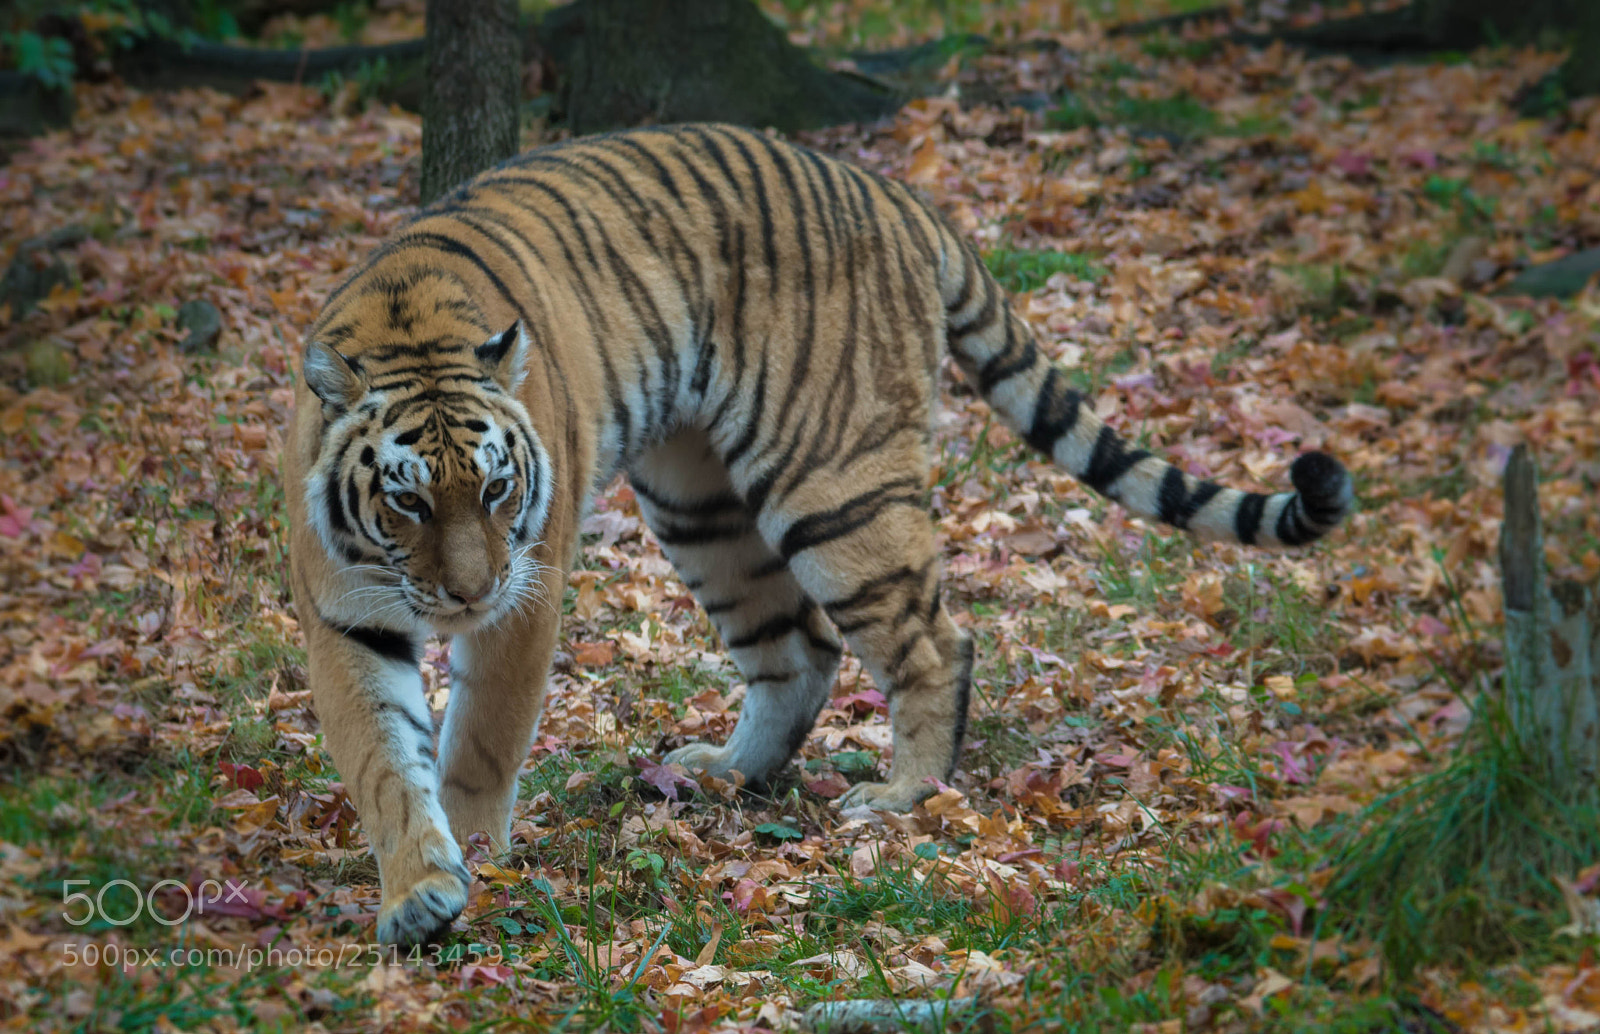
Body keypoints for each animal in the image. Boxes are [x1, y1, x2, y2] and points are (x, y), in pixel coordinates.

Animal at [283, 122, 1352, 947]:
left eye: (500, 490)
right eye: (409, 504)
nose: (465, 597)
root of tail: (889, 191)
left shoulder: (526, 589)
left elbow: (479, 745)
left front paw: (478, 855)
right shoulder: (345, 613)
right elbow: (382, 759)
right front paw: (420, 891)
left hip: (834, 484)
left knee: (936, 641)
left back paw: (900, 795)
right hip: (696, 500)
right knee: (797, 647)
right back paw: (723, 773)